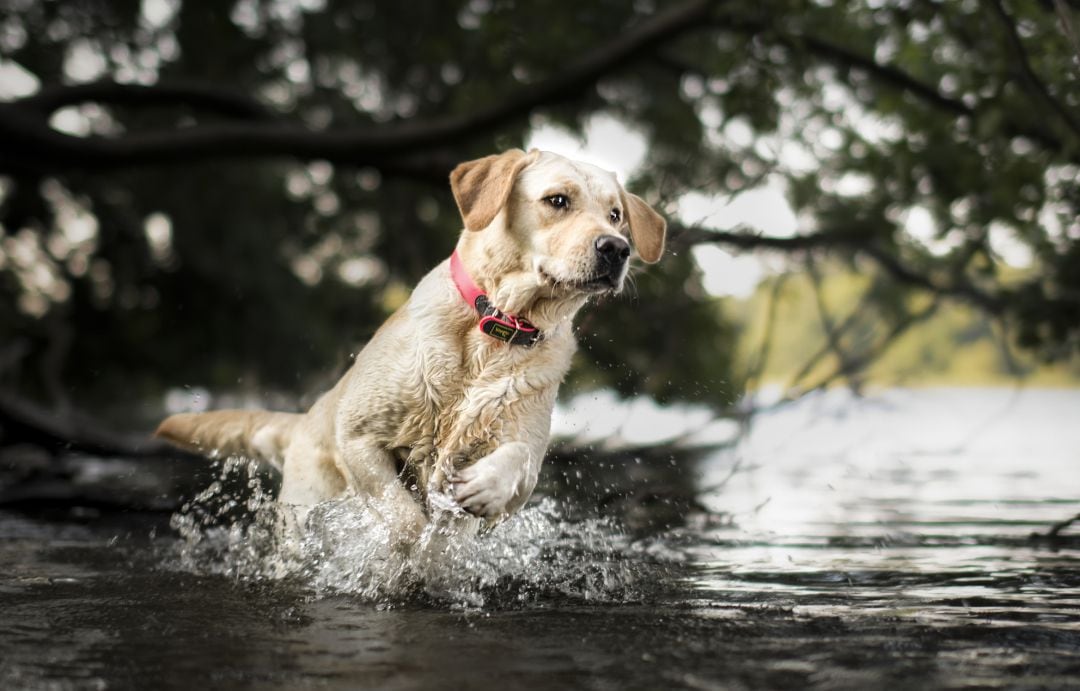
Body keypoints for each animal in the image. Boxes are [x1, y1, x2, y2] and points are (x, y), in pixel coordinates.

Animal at [157, 150, 665, 539]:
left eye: (616, 215)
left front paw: (484, 487)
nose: (616, 248)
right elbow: (401, 517)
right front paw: (408, 557)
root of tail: (305, 418)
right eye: (557, 200)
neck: (495, 328)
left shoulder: (523, 460)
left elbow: (518, 462)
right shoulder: (358, 437)